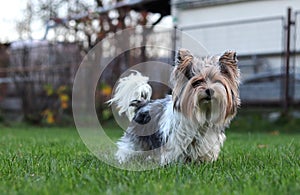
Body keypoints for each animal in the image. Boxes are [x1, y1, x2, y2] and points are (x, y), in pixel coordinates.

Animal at [108, 48, 239, 165]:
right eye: (197, 82)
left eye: (217, 81)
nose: (209, 90)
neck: (203, 111)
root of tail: (143, 104)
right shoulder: (176, 139)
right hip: (137, 138)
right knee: (129, 148)